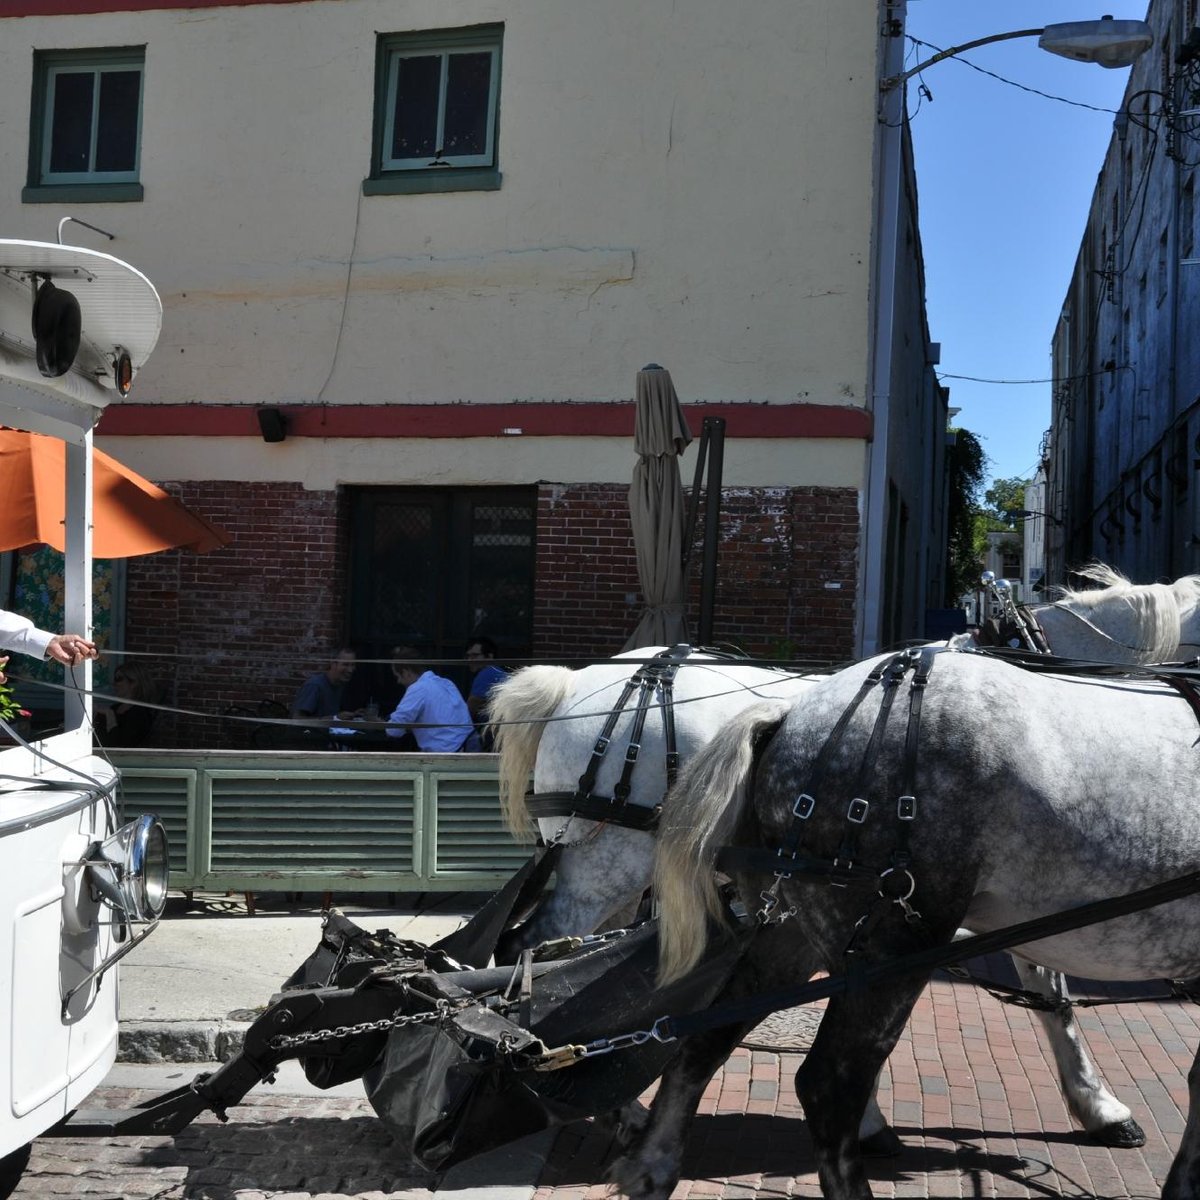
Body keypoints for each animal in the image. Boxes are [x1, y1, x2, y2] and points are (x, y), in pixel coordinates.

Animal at [633, 657, 1200, 1200]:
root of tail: (791, 713)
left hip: (790, 936)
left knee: (702, 1043)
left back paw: (652, 1168)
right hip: (895, 945)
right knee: (827, 1084)